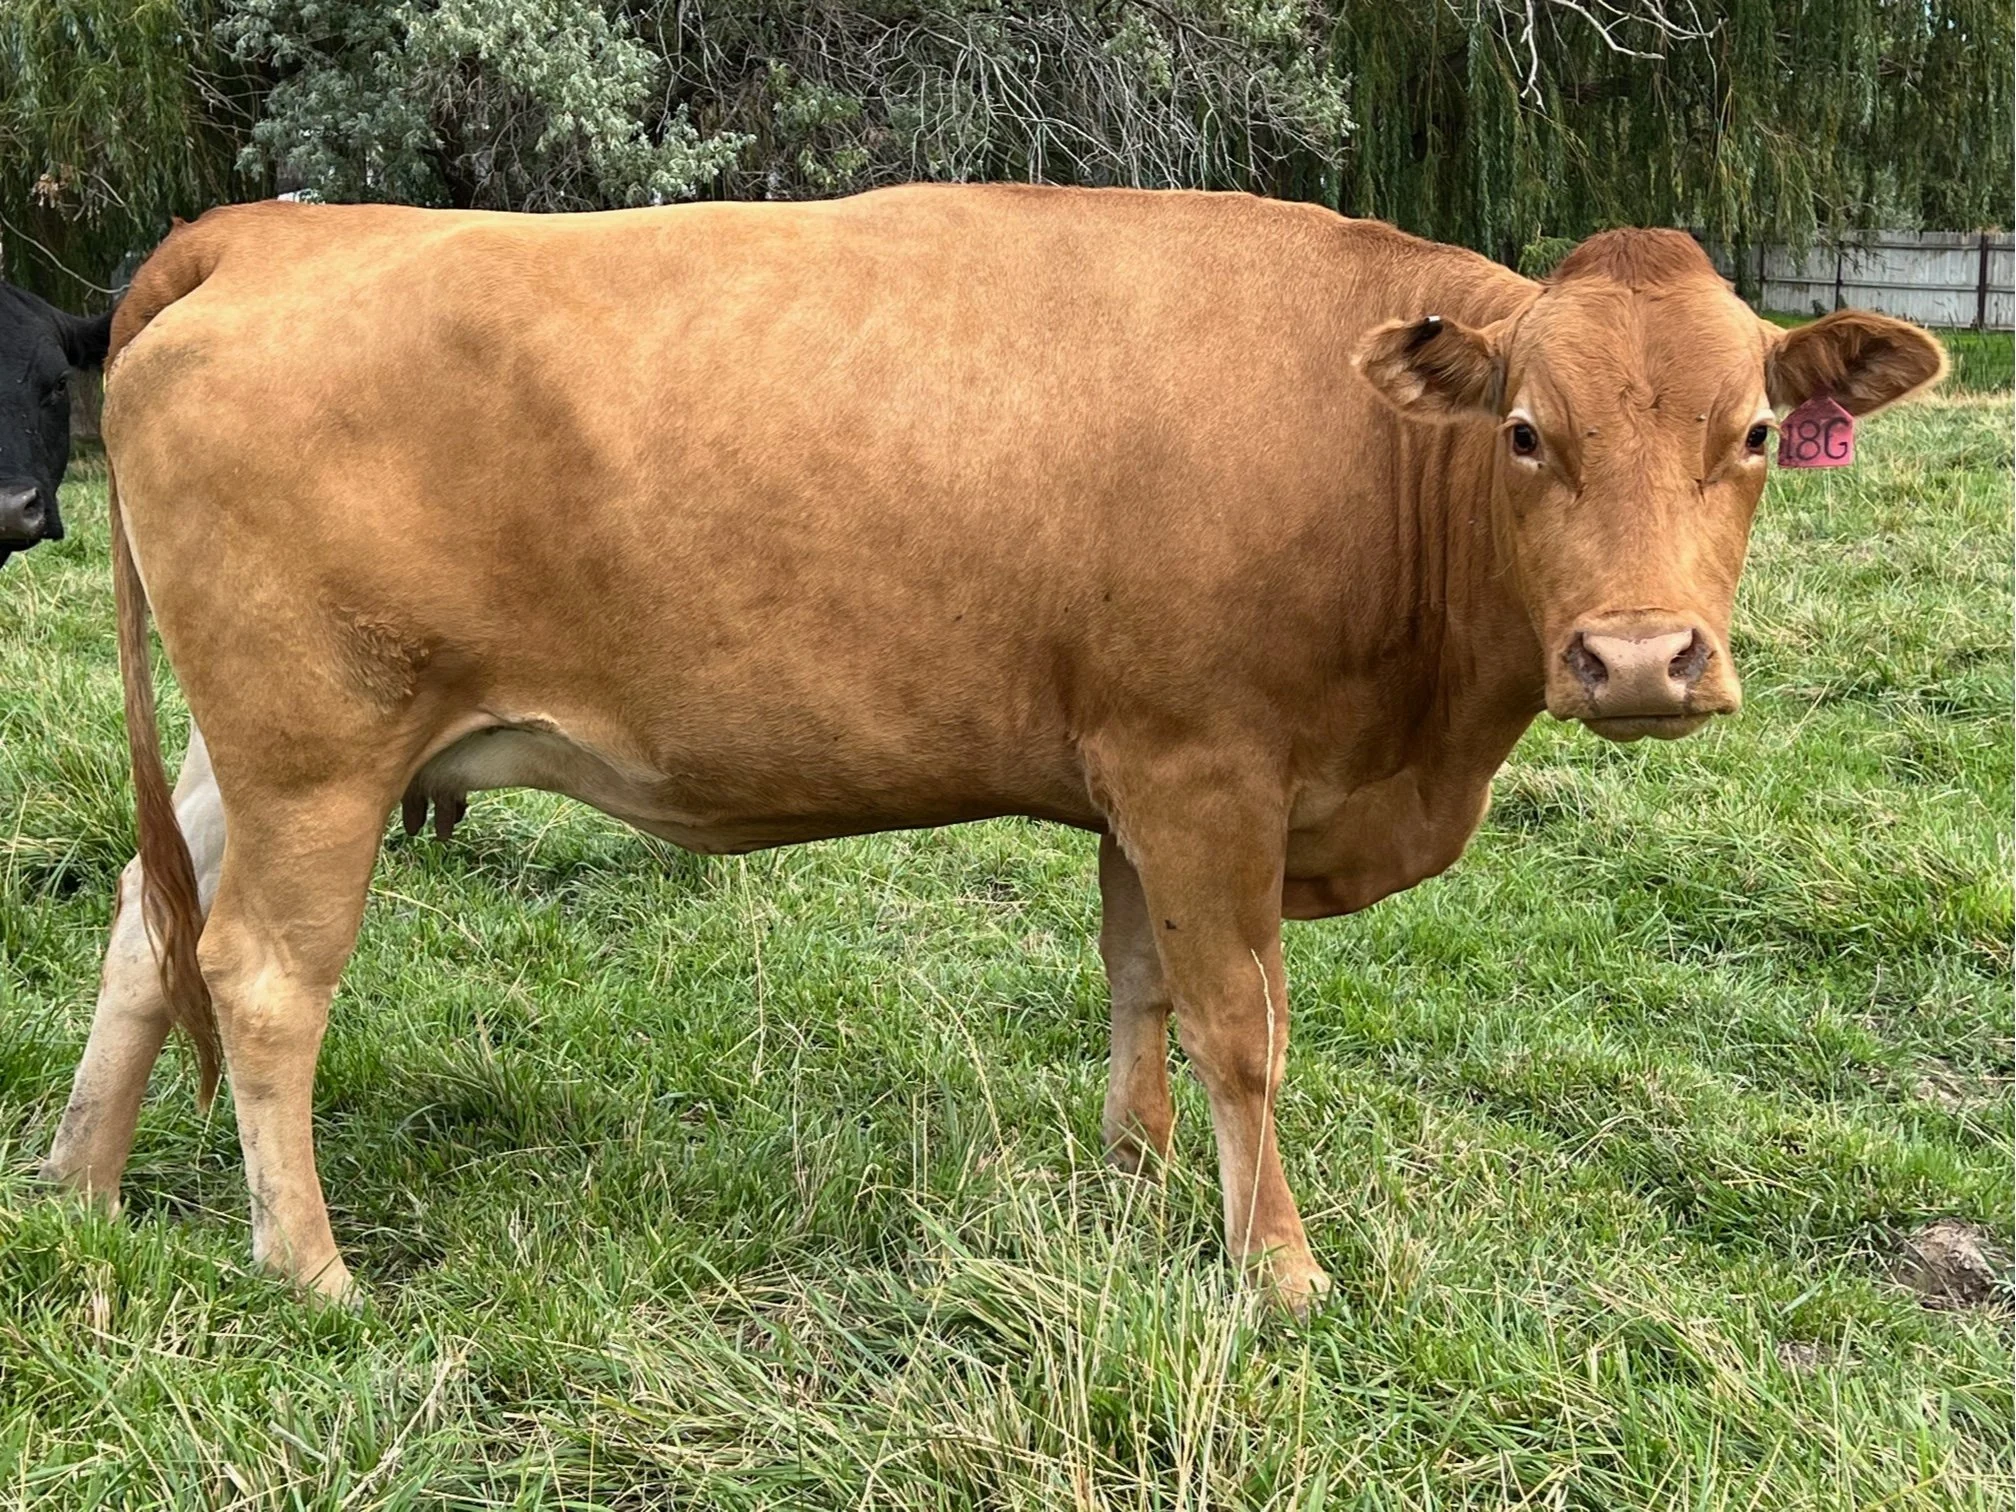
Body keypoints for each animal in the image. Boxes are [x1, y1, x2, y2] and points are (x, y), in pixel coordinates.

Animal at [48, 186, 1945, 1309]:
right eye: (1529, 433)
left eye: (1754, 431)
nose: (1638, 658)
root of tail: (278, 229)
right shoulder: (1203, 770)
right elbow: (1245, 1028)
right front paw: (1280, 1272)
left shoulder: (1136, 782)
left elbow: (1142, 988)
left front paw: (1137, 1183)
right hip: (319, 753)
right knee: (264, 982)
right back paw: (309, 1271)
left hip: (237, 755)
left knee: (148, 938)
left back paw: (79, 1187)